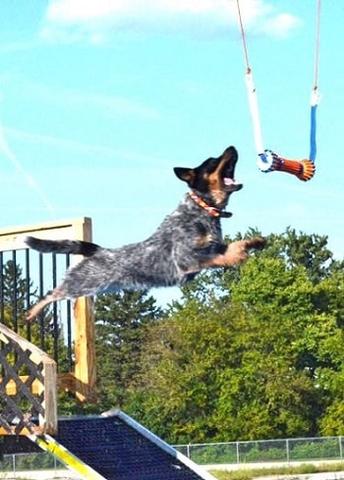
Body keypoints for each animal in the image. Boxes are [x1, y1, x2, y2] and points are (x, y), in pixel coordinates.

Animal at [24, 144, 266, 320]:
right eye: (212, 161)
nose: (232, 147)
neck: (202, 209)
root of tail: (97, 250)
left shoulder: (213, 246)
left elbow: (234, 245)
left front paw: (255, 242)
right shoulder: (188, 259)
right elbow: (222, 256)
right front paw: (239, 256)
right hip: (80, 284)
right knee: (52, 294)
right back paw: (31, 312)